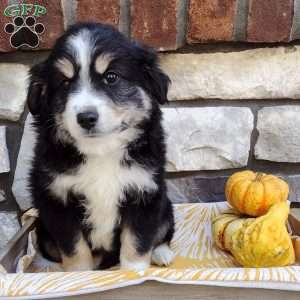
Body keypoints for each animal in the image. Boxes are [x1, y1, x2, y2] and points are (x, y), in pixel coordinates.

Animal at [27, 22, 176, 272]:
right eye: (65, 83)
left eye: (111, 77)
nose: (86, 118)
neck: (101, 151)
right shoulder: (58, 200)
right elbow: (74, 248)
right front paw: (79, 274)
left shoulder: (144, 193)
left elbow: (138, 242)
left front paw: (134, 272)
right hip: (42, 230)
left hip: (165, 208)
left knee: (163, 233)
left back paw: (162, 254)